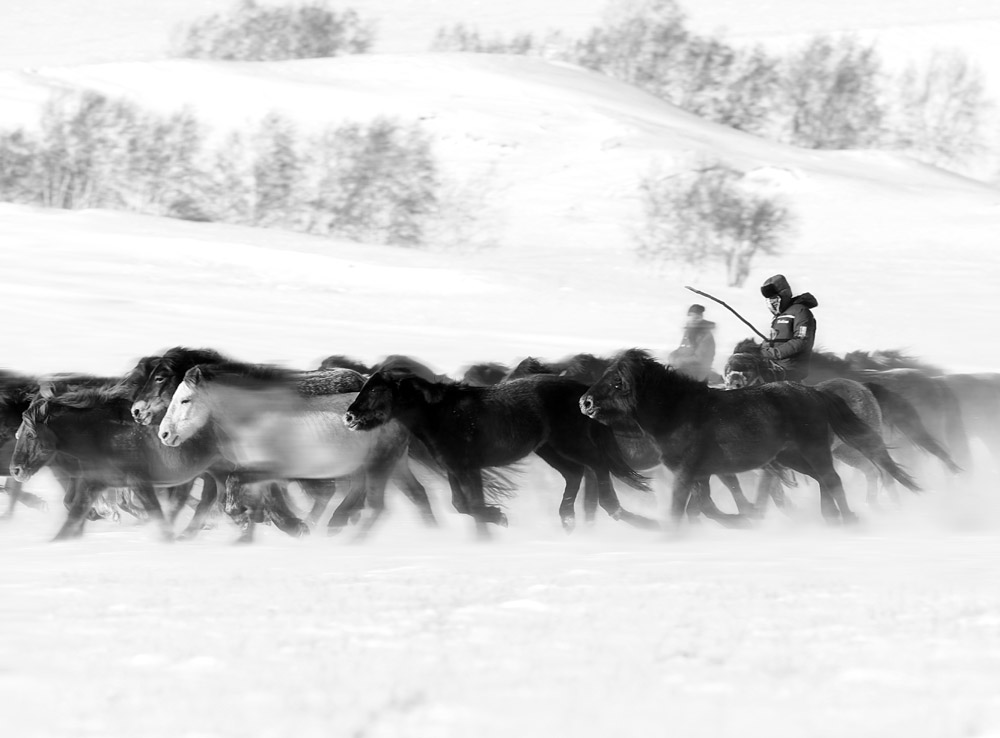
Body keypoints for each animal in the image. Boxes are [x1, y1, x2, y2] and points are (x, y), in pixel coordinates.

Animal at [344, 370, 656, 532]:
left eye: (376, 390)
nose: (349, 416)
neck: (441, 414)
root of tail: (584, 395)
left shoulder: (469, 468)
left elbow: (473, 504)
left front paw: (498, 518)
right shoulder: (454, 468)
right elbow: (461, 505)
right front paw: (496, 517)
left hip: (570, 443)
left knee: (598, 467)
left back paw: (621, 514)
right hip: (549, 449)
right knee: (576, 473)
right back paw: (568, 519)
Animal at [580, 350, 920, 524]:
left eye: (617, 382)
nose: (584, 403)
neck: (681, 412)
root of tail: (816, 392)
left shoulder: (691, 471)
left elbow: (690, 506)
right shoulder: (702, 473)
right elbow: (705, 505)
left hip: (817, 451)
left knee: (840, 478)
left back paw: (850, 516)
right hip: (797, 457)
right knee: (833, 479)